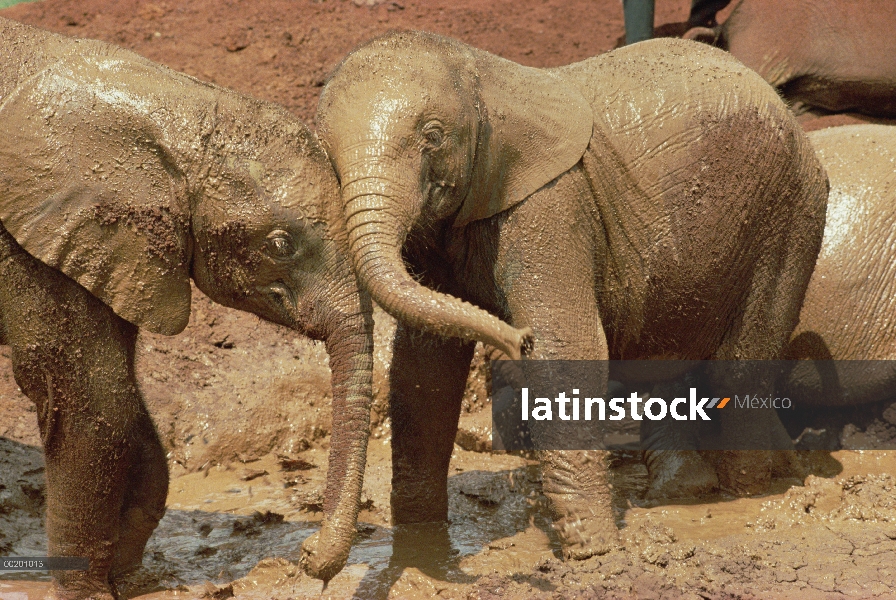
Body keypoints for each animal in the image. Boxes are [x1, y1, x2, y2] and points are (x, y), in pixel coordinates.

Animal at [0, 16, 372, 596]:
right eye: (280, 244)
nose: (310, 558)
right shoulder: (26, 240)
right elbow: (93, 400)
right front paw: (91, 592)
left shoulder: (117, 247)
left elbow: (123, 398)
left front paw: (133, 578)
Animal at [314, 31, 824, 556]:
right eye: (326, 155)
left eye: (432, 136)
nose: (516, 338)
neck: (487, 77)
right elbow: (425, 368)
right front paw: (420, 543)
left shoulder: (550, 200)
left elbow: (566, 347)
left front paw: (595, 552)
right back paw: (691, 490)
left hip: (790, 212)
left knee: (737, 372)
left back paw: (746, 495)